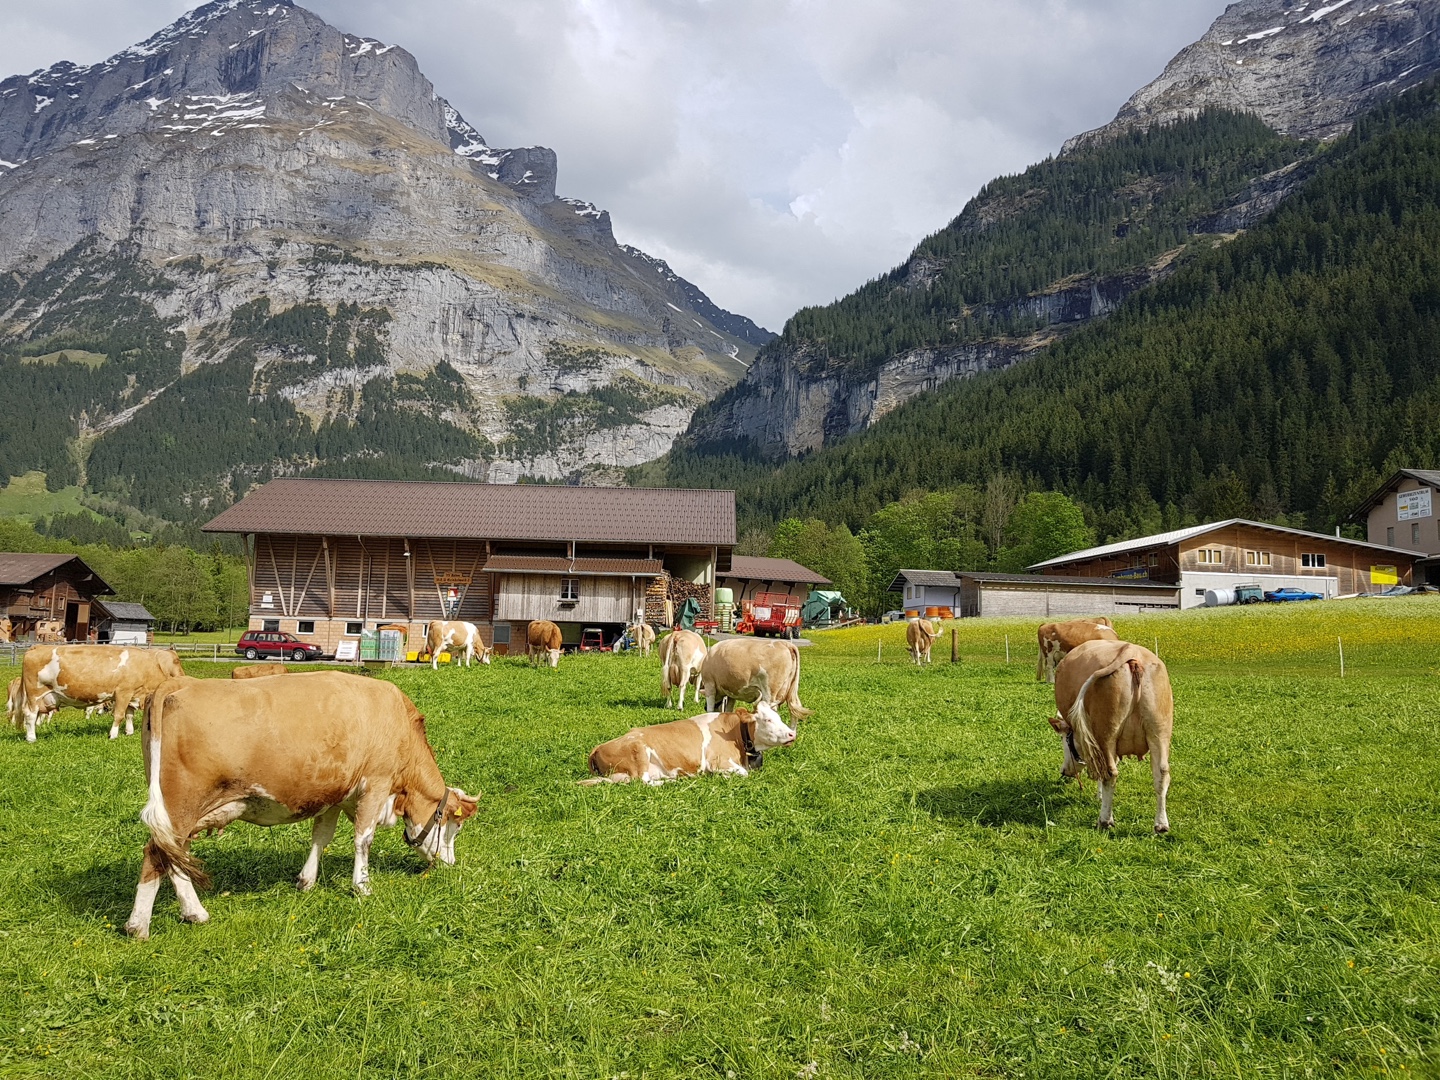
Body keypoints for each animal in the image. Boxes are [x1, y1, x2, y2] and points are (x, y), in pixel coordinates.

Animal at [17, 642, 187, 743]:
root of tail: (37, 647)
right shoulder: (123, 692)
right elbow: (119, 715)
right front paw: (113, 735)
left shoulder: (133, 694)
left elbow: (129, 715)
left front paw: (129, 732)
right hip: (35, 694)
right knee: (30, 715)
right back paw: (31, 738)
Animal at [122, 673, 478, 944]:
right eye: (454, 825)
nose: (450, 864)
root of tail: (180, 682)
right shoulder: (375, 784)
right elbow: (363, 839)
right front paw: (362, 886)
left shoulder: (335, 793)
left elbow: (321, 836)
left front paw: (306, 881)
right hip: (180, 804)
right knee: (156, 853)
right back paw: (139, 926)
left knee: (174, 855)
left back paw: (194, 913)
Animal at [576, 702, 800, 789]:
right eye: (768, 720)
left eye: (779, 717)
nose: (792, 734)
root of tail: (598, 746)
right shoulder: (718, 762)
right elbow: (741, 774)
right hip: (638, 752)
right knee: (642, 782)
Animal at [1054, 642, 1175, 835]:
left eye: (1064, 741)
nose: (1064, 771)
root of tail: (1131, 650)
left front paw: (1099, 797)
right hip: (1159, 732)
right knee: (1162, 774)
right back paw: (1161, 824)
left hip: (1106, 733)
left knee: (1109, 773)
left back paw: (1105, 820)